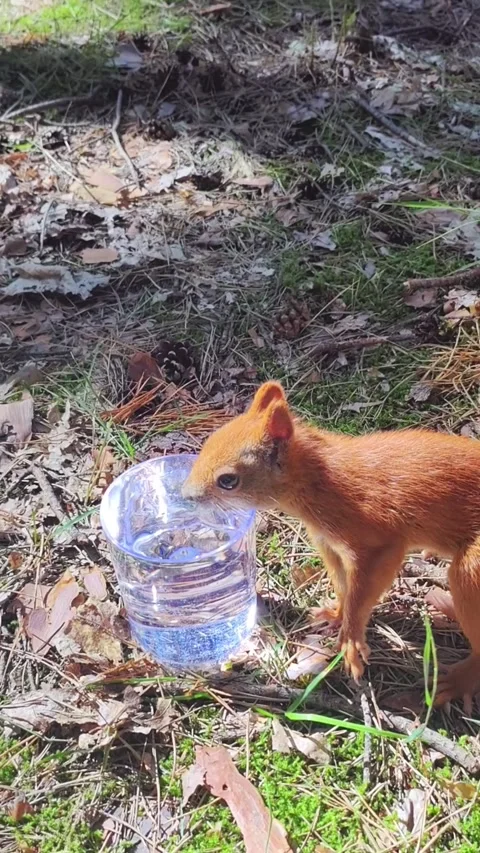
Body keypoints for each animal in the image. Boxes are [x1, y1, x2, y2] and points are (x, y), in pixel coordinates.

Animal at [183, 380, 480, 707]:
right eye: (209, 443)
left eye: (228, 480)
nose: (185, 495)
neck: (321, 481)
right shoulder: (329, 544)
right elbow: (342, 584)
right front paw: (336, 614)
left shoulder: (379, 543)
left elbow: (361, 594)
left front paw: (350, 639)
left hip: (471, 571)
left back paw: (459, 681)